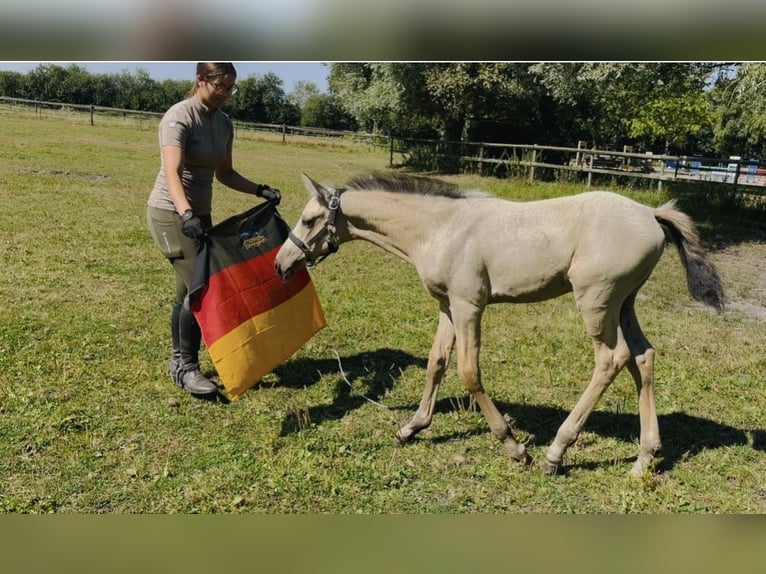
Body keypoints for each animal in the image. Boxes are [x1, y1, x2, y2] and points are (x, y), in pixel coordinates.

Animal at [274, 172, 724, 476]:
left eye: (309, 220)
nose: (282, 264)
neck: (440, 228)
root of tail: (650, 213)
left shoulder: (470, 306)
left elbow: (468, 372)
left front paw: (514, 446)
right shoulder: (447, 306)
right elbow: (436, 363)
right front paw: (411, 427)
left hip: (597, 301)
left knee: (612, 359)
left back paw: (556, 452)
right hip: (624, 303)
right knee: (643, 357)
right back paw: (644, 459)